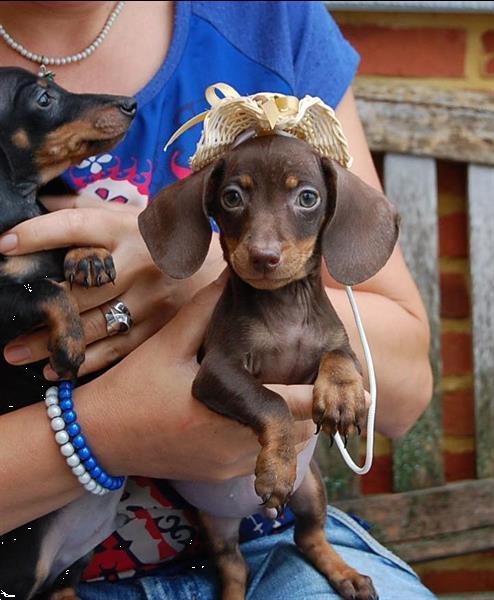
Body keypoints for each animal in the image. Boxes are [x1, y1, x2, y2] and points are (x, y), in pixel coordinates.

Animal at [0, 68, 135, 596]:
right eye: (43, 98)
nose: (130, 104)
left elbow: (61, 225)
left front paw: (88, 255)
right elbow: (44, 290)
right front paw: (70, 343)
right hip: (23, 565)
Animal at [138, 136, 398, 600]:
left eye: (307, 197)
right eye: (232, 197)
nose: (263, 256)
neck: (284, 308)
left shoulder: (335, 343)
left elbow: (339, 359)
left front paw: (342, 396)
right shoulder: (217, 373)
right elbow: (270, 400)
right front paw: (276, 466)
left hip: (311, 489)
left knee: (309, 537)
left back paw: (345, 574)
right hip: (215, 525)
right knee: (234, 567)